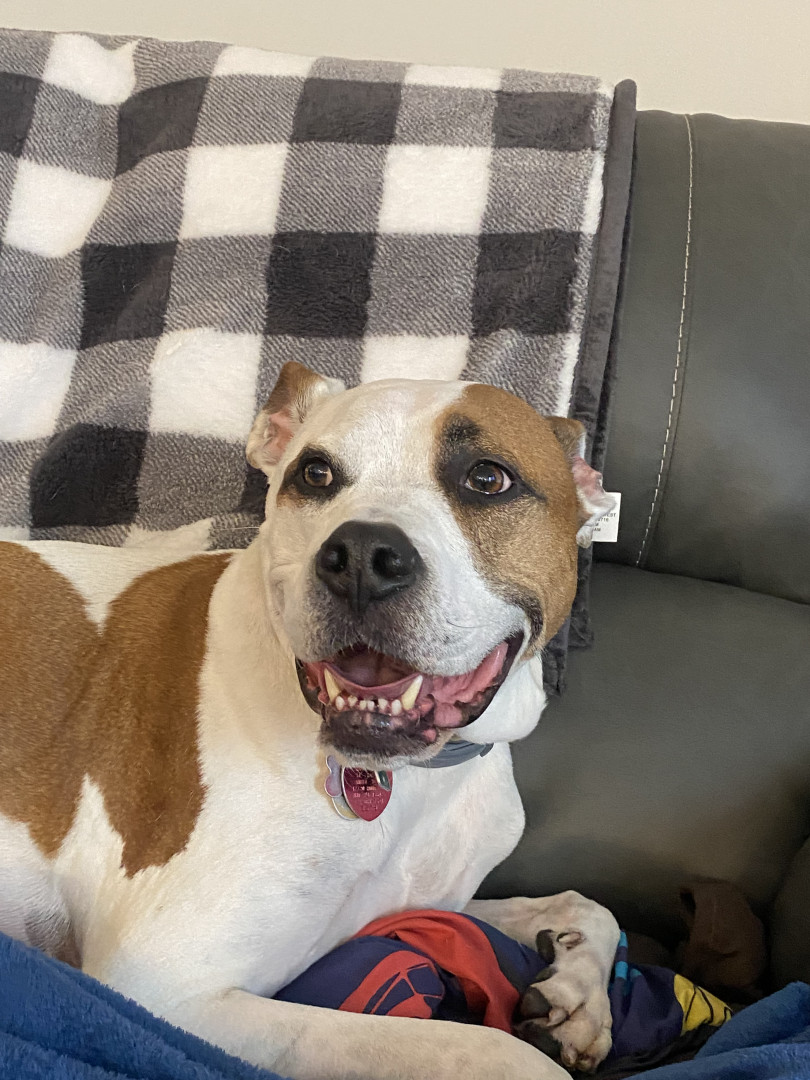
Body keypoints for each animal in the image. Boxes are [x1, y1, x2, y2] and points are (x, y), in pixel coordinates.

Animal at [0, 364, 619, 1079]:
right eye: (316, 474)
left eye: (488, 479)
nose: (361, 555)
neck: (413, 779)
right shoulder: (160, 992)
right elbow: (488, 1051)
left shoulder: (428, 903)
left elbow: (587, 906)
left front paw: (576, 994)